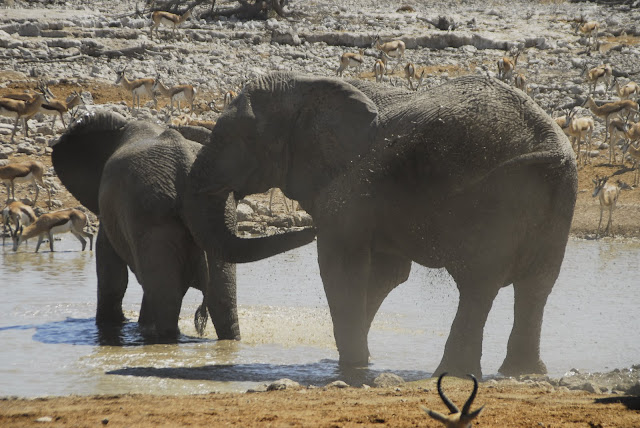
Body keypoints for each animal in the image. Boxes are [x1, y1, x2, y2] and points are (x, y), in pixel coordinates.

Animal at [51, 111, 316, 342]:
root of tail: (185, 164)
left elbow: (112, 275)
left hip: (151, 216)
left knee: (167, 297)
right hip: (215, 214)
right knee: (220, 298)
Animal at [190, 72, 580, 376]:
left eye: (233, 137)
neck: (307, 86)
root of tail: (548, 142)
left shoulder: (352, 184)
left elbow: (341, 266)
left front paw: (352, 367)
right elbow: (386, 273)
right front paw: (354, 364)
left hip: (495, 198)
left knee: (479, 284)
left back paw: (454, 373)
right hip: (557, 198)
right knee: (536, 285)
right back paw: (522, 373)